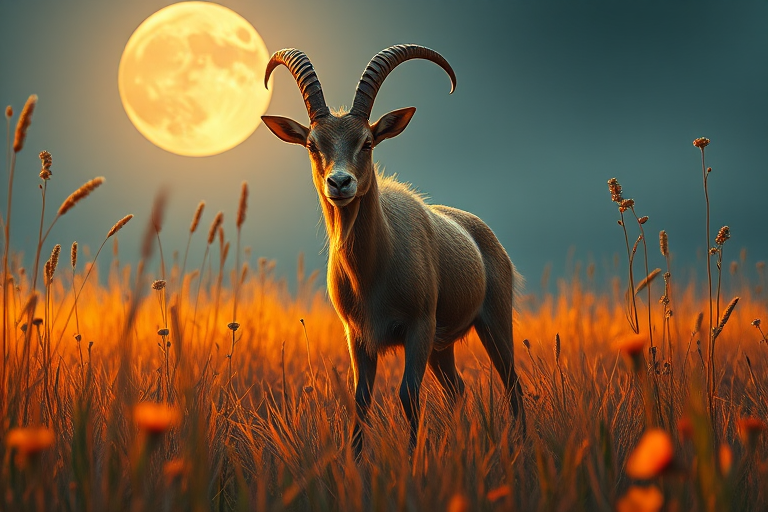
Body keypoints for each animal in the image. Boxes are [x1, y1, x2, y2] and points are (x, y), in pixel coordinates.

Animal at [261, 45, 525, 455]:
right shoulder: (358, 337)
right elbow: (361, 399)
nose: (340, 183)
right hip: (441, 348)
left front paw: (414, 459)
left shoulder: (417, 327)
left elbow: (407, 395)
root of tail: (483, 233)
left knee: (512, 385)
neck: (371, 271)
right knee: (457, 389)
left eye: (367, 141)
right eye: (312, 144)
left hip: (492, 324)